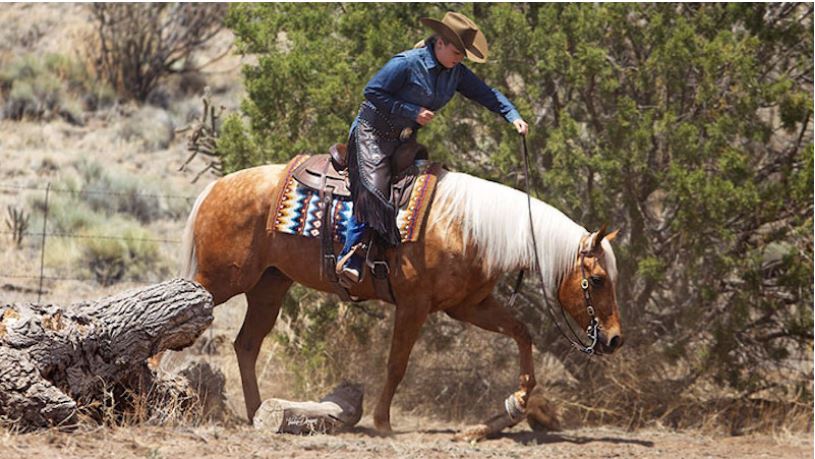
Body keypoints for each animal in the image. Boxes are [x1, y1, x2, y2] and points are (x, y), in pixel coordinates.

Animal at [179, 161, 623, 432]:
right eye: (598, 279)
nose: (615, 338)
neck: (466, 225)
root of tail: (215, 188)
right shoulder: (414, 306)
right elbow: (396, 364)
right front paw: (382, 422)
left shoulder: (468, 306)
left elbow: (522, 332)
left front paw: (518, 401)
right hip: (219, 280)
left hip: (269, 287)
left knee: (246, 345)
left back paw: (258, 412)